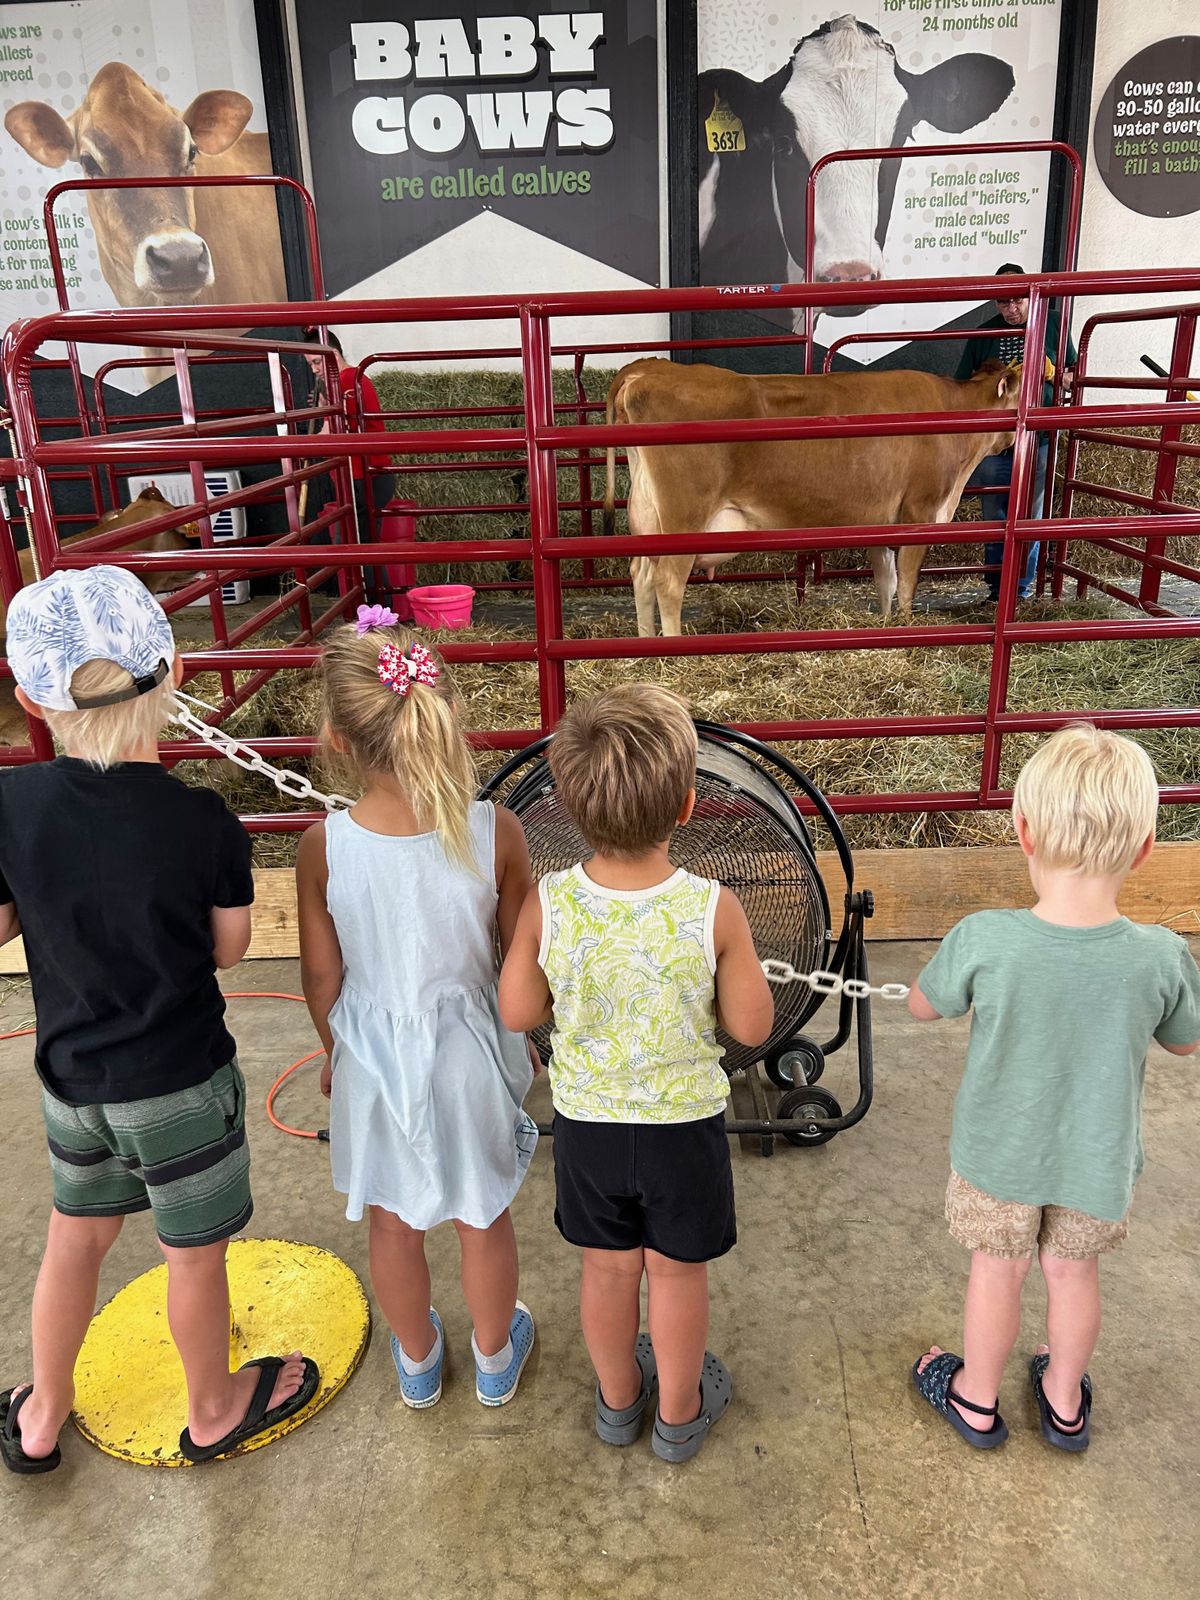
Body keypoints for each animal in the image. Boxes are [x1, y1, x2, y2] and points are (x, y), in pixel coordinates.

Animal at [601, 357, 1021, 636]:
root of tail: (649, 368)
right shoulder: (920, 509)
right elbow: (906, 583)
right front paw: (903, 624)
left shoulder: (882, 520)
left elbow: (885, 579)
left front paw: (885, 624)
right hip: (684, 517)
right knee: (668, 581)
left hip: (647, 515)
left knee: (642, 574)